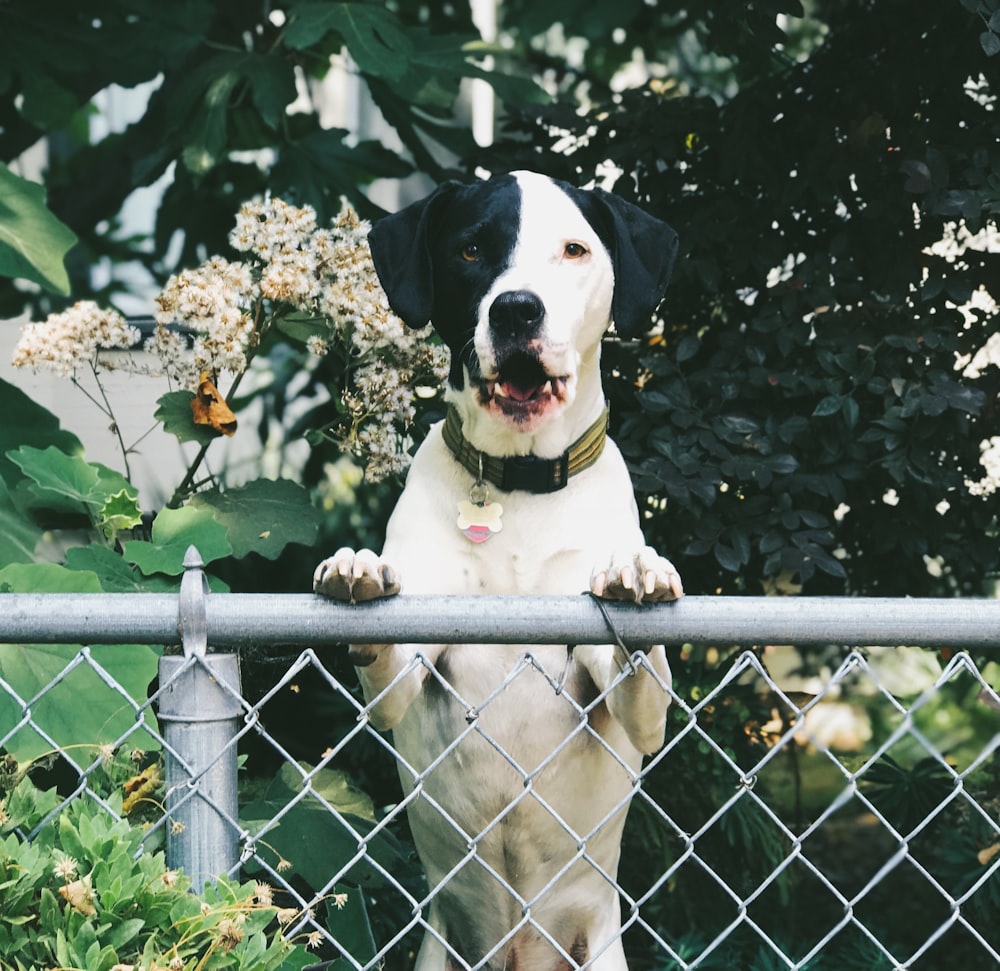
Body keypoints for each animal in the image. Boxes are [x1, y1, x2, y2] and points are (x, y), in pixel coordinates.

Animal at [316, 173, 684, 971]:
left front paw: (636, 572)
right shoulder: (411, 669)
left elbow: (639, 674)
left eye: (574, 249)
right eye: (471, 249)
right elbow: (387, 662)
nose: (517, 307)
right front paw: (360, 565)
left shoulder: (629, 703)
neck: (519, 486)